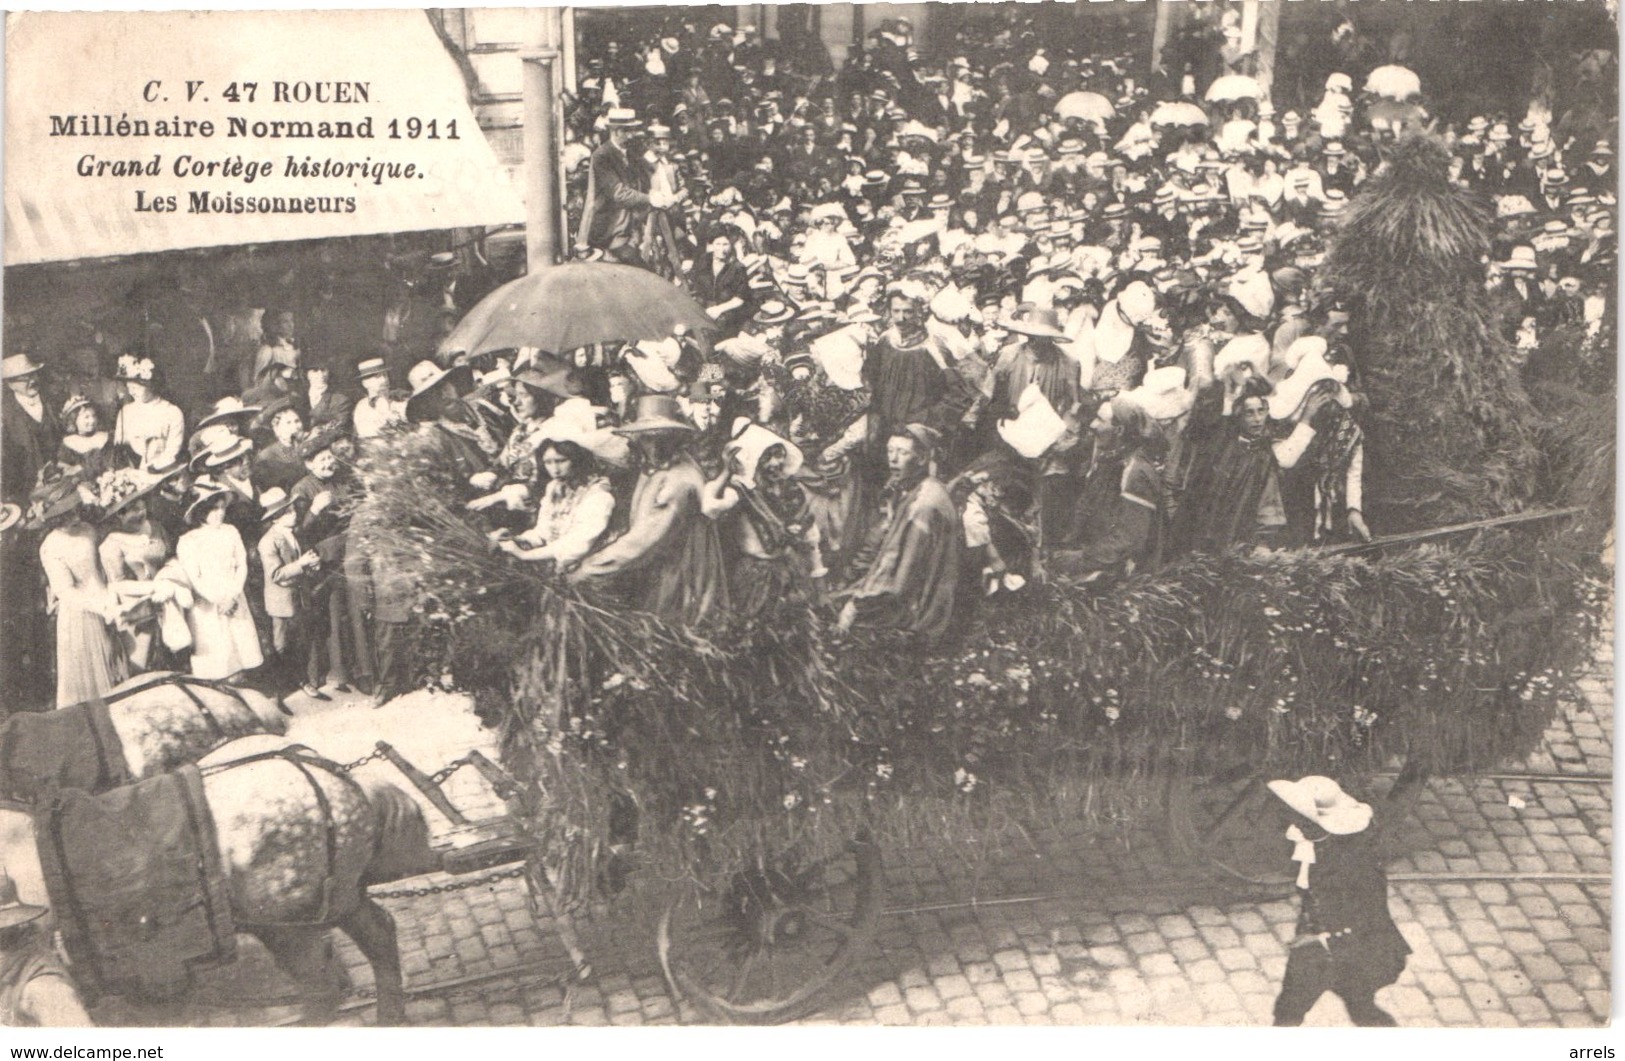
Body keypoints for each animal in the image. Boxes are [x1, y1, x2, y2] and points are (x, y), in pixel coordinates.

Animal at [0, 731, 438, 1020]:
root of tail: (335, 775)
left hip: (285, 920)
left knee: (319, 984)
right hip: (335, 897)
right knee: (377, 934)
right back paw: (390, 1019)